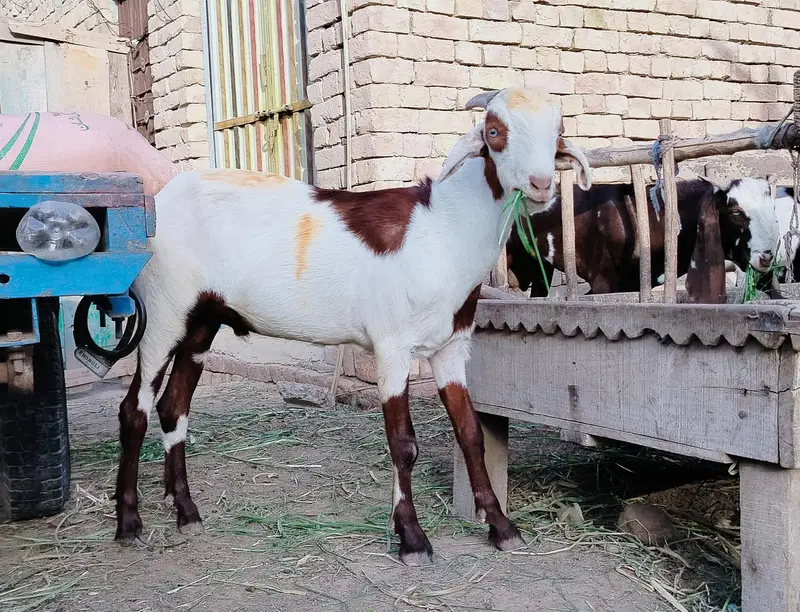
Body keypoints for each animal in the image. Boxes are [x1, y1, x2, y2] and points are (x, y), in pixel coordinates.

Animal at [113, 87, 592, 565]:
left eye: (559, 132)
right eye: (493, 132)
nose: (541, 185)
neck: (443, 233)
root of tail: (163, 198)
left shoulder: (451, 346)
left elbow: (471, 433)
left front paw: (501, 527)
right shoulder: (392, 345)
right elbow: (403, 443)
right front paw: (412, 538)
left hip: (201, 318)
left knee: (173, 407)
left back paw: (186, 511)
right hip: (163, 309)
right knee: (134, 409)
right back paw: (129, 523)